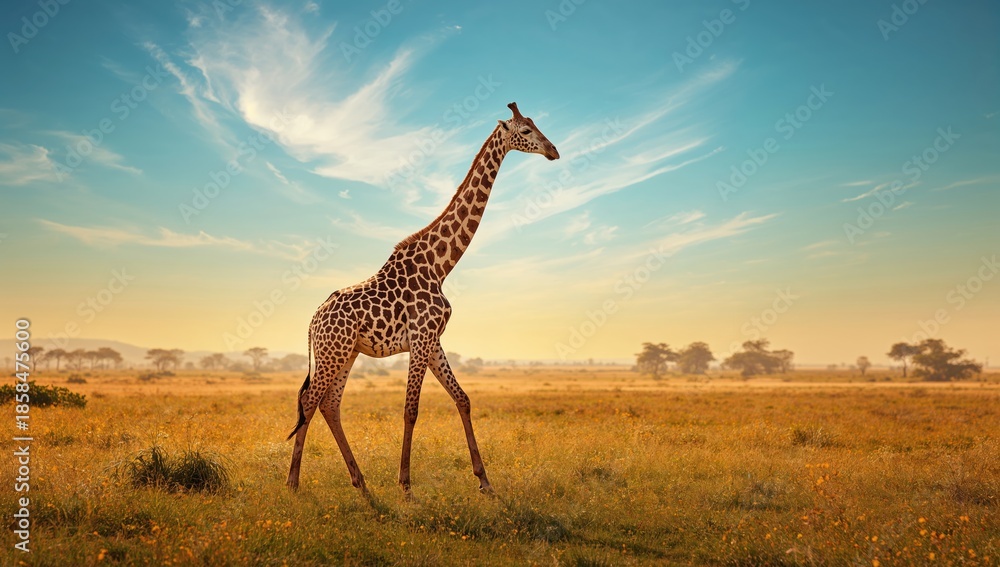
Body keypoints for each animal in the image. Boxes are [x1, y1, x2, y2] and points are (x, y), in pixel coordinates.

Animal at [286, 102, 559, 494]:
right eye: (524, 130)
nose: (553, 150)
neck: (440, 265)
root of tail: (312, 321)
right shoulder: (420, 337)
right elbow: (411, 410)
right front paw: (405, 485)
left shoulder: (433, 340)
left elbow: (463, 398)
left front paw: (485, 481)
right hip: (332, 352)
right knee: (310, 401)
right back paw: (293, 483)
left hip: (346, 352)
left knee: (330, 405)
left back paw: (361, 484)